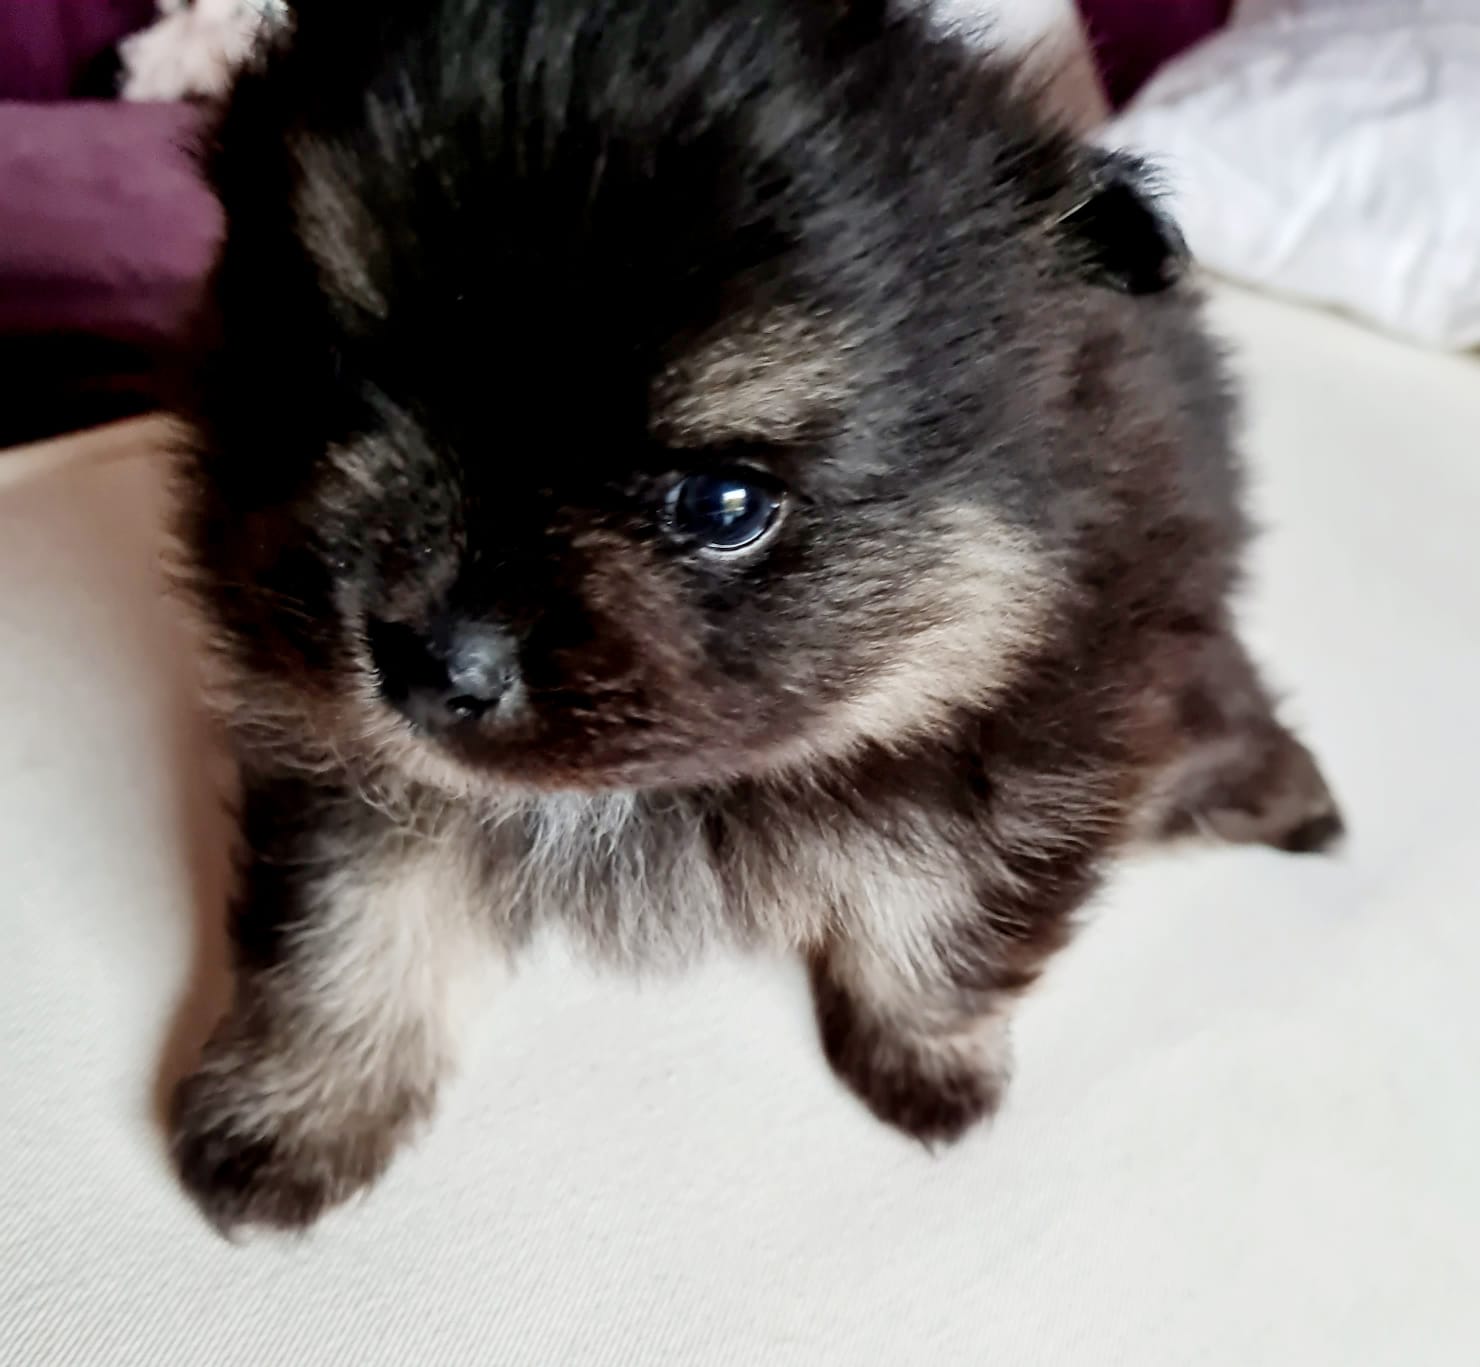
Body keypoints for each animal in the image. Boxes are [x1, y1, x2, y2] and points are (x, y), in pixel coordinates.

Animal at [166, 0, 1342, 1233]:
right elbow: (342, 927)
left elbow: (950, 911)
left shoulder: (1045, 743)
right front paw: (299, 1109)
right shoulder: (328, 744)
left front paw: (929, 1057)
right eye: (319, 386)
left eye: (724, 504)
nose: (431, 660)